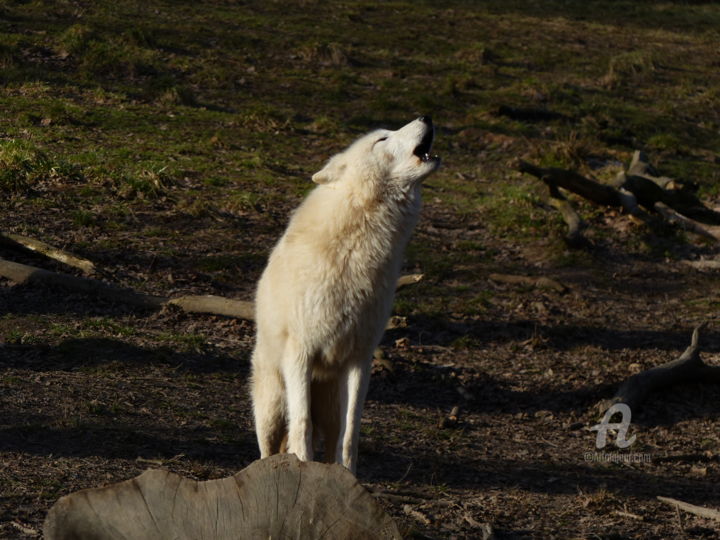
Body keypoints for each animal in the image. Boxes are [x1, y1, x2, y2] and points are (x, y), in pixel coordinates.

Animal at [250, 116, 438, 470]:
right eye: (382, 139)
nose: (426, 117)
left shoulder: (360, 358)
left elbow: (351, 433)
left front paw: (347, 473)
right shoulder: (300, 353)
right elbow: (302, 426)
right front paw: (303, 468)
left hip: (330, 404)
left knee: (332, 432)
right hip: (272, 405)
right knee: (271, 443)